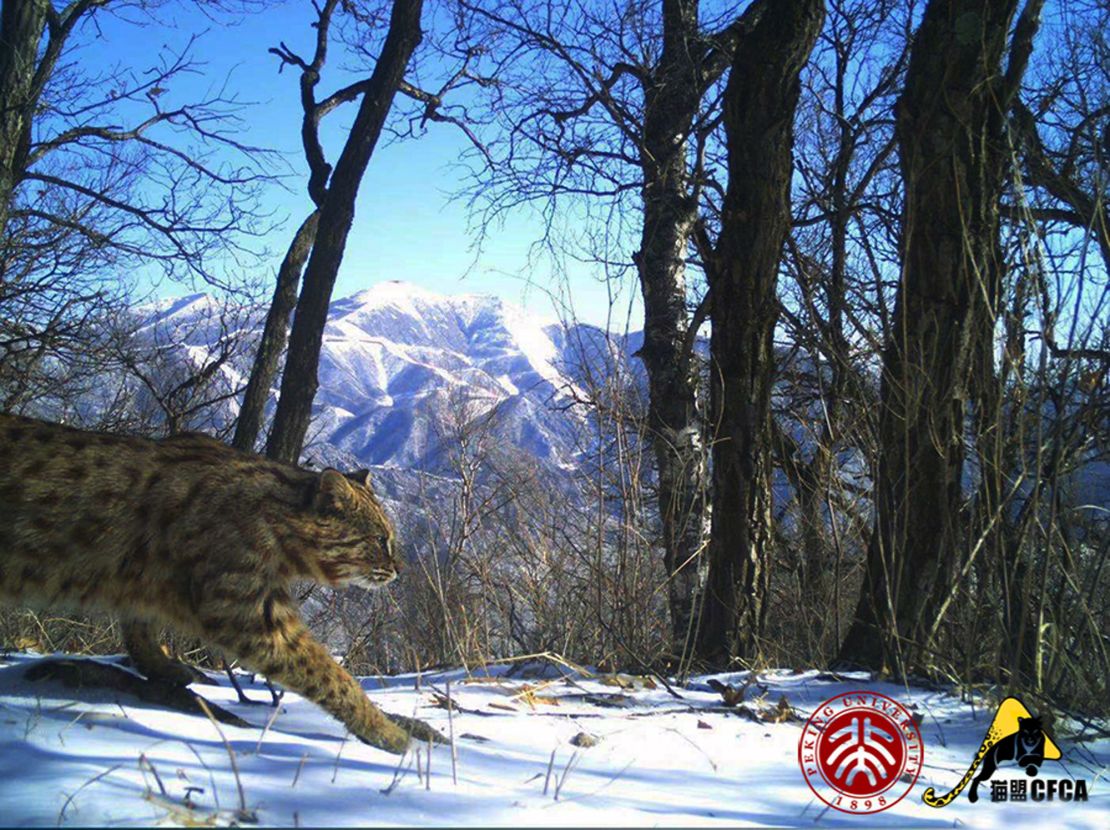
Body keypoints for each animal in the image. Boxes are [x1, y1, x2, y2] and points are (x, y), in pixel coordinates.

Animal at [0, 412, 419, 750]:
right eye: (380, 539)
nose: (400, 568)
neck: (279, 526)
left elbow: (140, 625)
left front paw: (163, 667)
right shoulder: (248, 614)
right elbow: (332, 674)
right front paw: (387, 731)